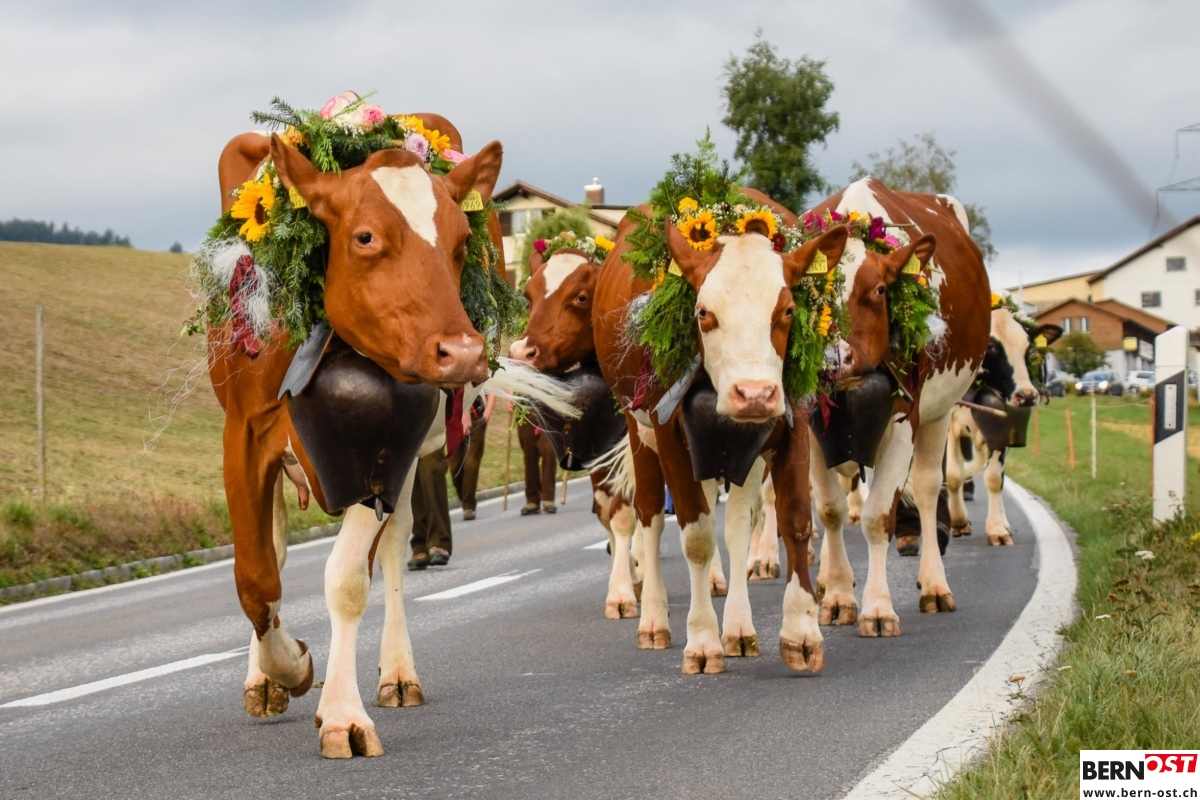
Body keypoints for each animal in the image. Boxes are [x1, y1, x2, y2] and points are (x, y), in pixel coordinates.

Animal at [208, 117, 505, 758]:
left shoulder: (382, 455)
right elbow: (256, 577)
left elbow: (347, 580)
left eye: (461, 239)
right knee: (275, 551)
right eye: (366, 237)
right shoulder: (243, 436)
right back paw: (262, 679)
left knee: (392, 550)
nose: (464, 351)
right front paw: (287, 667)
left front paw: (341, 713)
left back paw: (398, 673)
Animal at [593, 193, 853, 674]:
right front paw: (702, 642)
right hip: (640, 432)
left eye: (788, 311)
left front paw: (802, 632)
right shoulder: (669, 435)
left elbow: (794, 520)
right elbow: (695, 537)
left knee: (736, 526)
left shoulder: (792, 421)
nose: (754, 393)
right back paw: (654, 621)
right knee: (649, 516)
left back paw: (738, 630)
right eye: (703, 313)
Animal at [808, 177, 991, 637]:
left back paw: (934, 585)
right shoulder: (810, 426)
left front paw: (877, 609)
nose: (835, 360)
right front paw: (838, 597)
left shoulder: (904, 417)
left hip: (939, 413)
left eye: (878, 290)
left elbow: (877, 517)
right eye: (814, 290)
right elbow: (831, 509)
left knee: (925, 488)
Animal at [945, 297, 1061, 545]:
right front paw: (958, 521)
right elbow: (953, 475)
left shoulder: (1001, 430)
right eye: (991, 346)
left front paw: (997, 528)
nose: (1027, 395)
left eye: (1028, 346)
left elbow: (994, 479)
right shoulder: (948, 424)